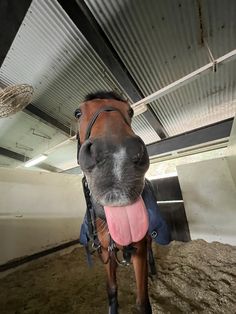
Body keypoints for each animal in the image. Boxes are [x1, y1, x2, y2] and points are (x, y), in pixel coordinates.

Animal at [74, 91, 154, 314]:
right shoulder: (105, 251)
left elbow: (143, 302)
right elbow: (111, 289)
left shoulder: (139, 250)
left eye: (130, 111)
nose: (117, 157)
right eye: (77, 113)